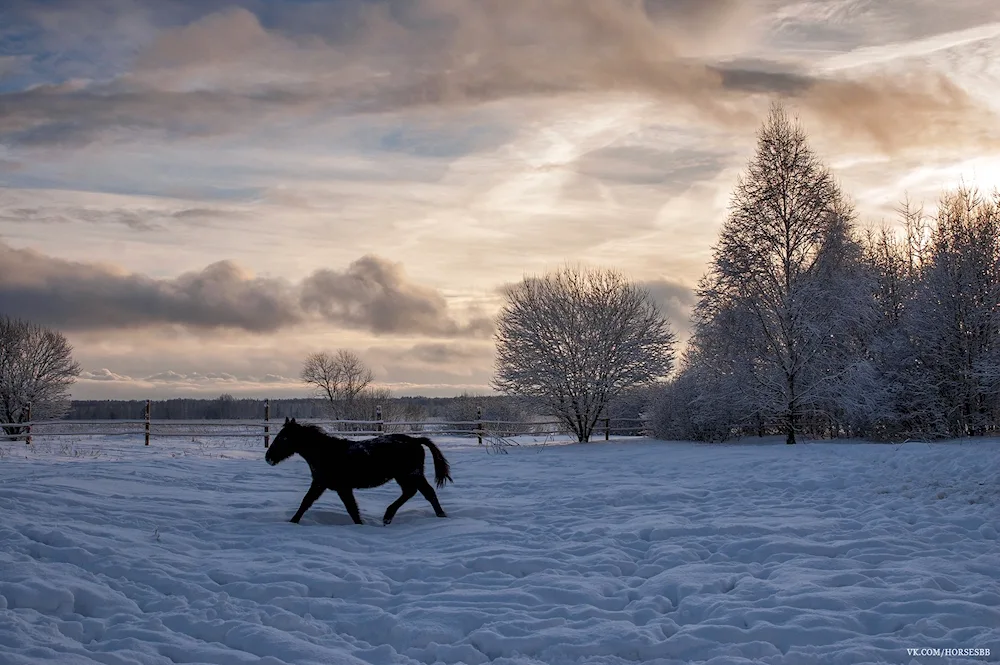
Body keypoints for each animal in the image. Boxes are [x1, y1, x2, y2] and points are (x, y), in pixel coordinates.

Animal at [266, 420, 454, 524]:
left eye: (283, 438)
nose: (268, 458)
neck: (325, 452)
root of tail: (416, 440)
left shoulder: (339, 487)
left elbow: (351, 508)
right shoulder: (321, 484)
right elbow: (306, 502)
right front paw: (293, 521)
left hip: (411, 474)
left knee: (428, 493)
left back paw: (440, 516)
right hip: (404, 476)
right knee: (410, 492)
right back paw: (388, 516)